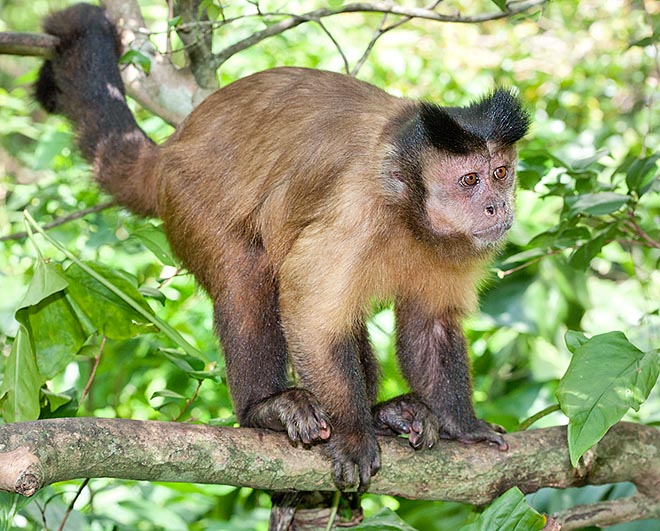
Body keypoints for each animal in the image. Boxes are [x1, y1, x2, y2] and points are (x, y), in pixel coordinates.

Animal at [37, 3, 532, 490]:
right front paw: (353, 433)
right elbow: (311, 316)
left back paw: (388, 413)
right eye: (469, 180)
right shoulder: (356, 209)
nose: (496, 205)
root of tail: (172, 147)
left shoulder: (458, 246)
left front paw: (462, 425)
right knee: (248, 272)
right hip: (188, 197)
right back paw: (265, 408)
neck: (406, 211)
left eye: (501, 173)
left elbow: (430, 323)